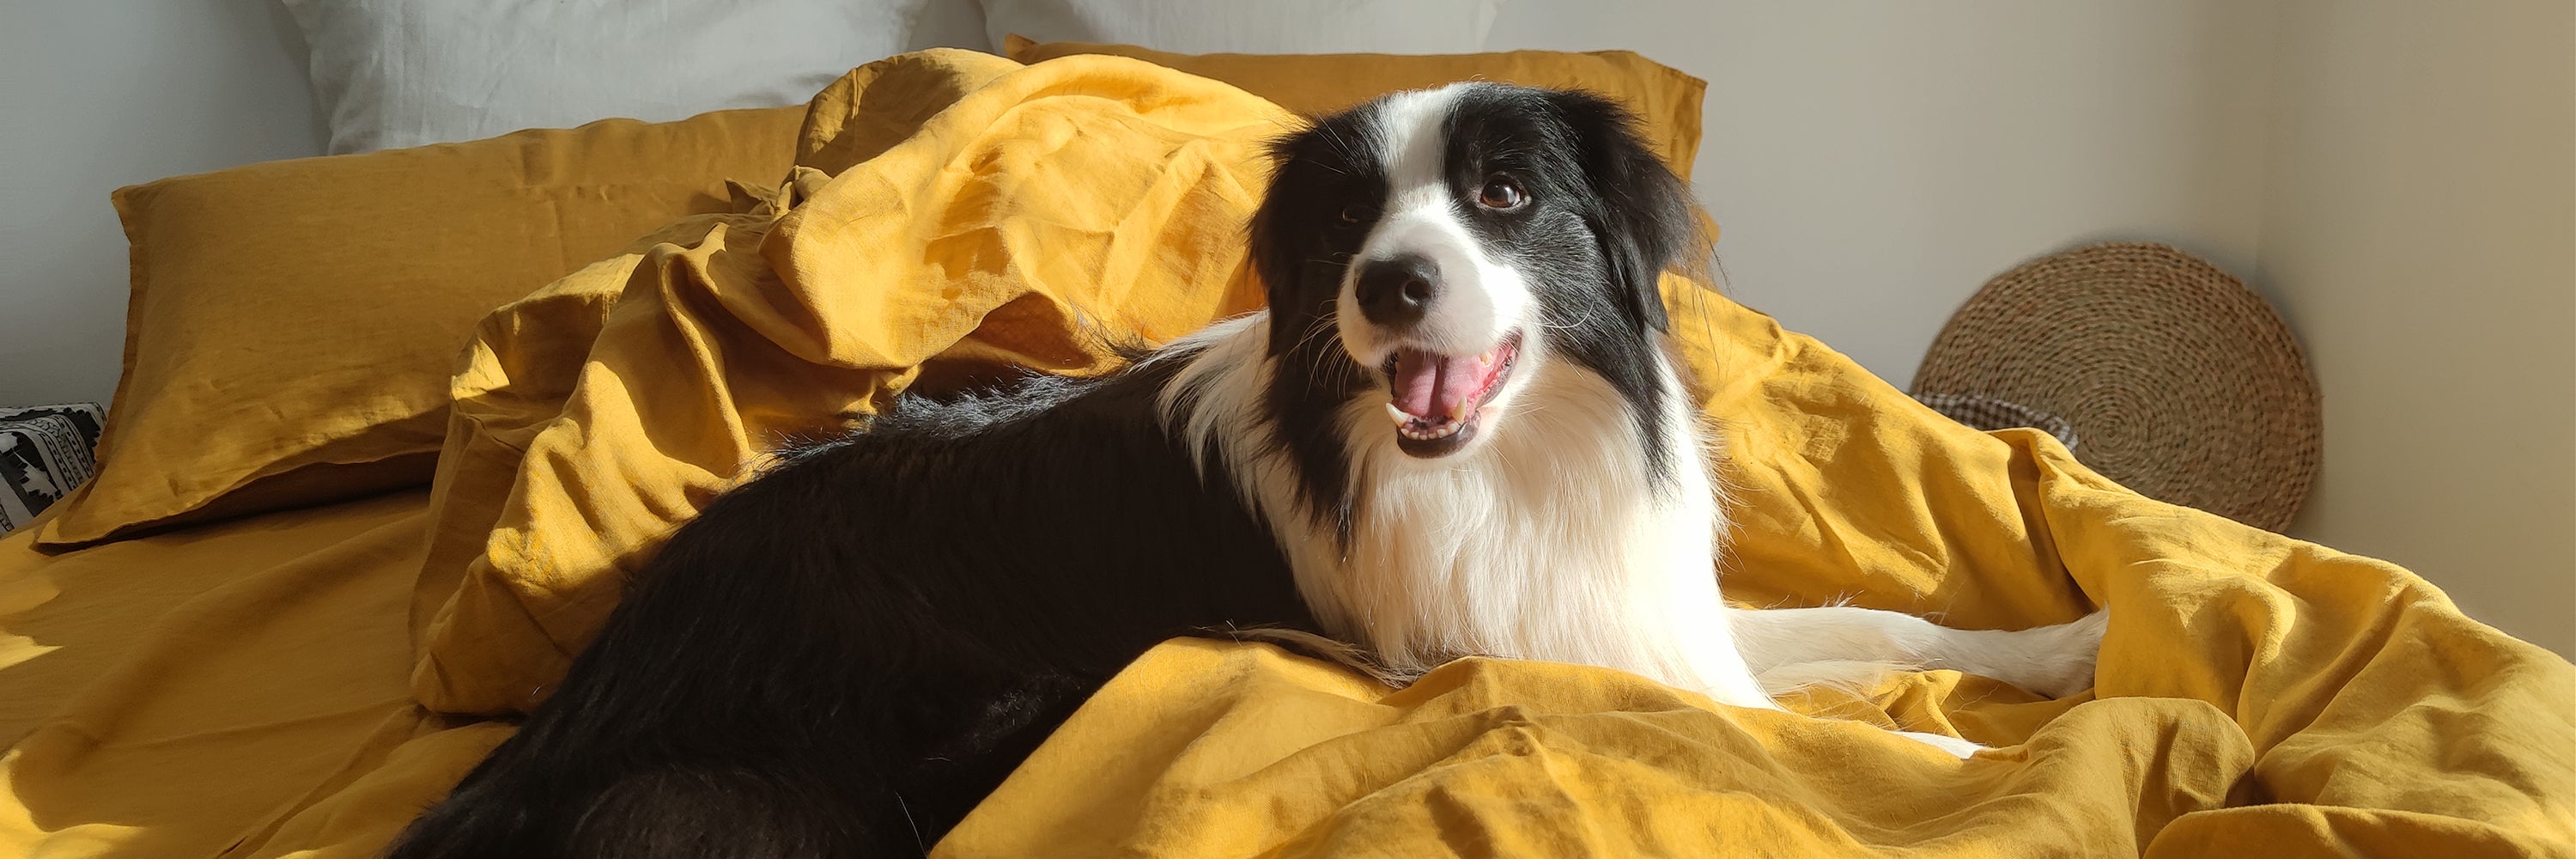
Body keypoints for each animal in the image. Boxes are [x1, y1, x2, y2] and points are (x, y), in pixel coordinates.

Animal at [392, 85, 2102, 856]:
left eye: (1502, 193)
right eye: (1344, 226)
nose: (1391, 288)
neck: (1503, 461)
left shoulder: (1634, 604)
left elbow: (1877, 632)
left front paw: (2070, 645)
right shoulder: (1523, 652)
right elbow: (1772, 726)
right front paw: (1966, 759)